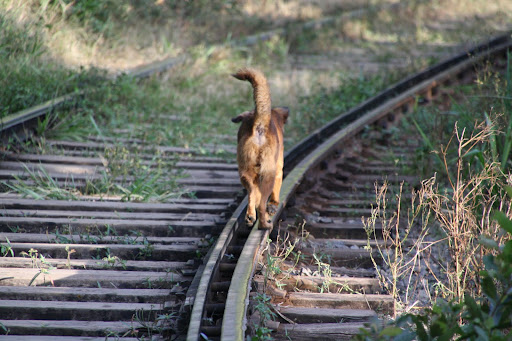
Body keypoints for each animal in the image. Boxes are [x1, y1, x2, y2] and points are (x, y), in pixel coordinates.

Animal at [231, 67, 288, 228]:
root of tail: (260, 123)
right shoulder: (278, 169)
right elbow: (274, 191)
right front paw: (273, 205)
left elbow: (255, 194)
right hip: (268, 174)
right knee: (262, 203)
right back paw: (265, 224)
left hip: (245, 172)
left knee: (251, 194)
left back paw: (250, 216)